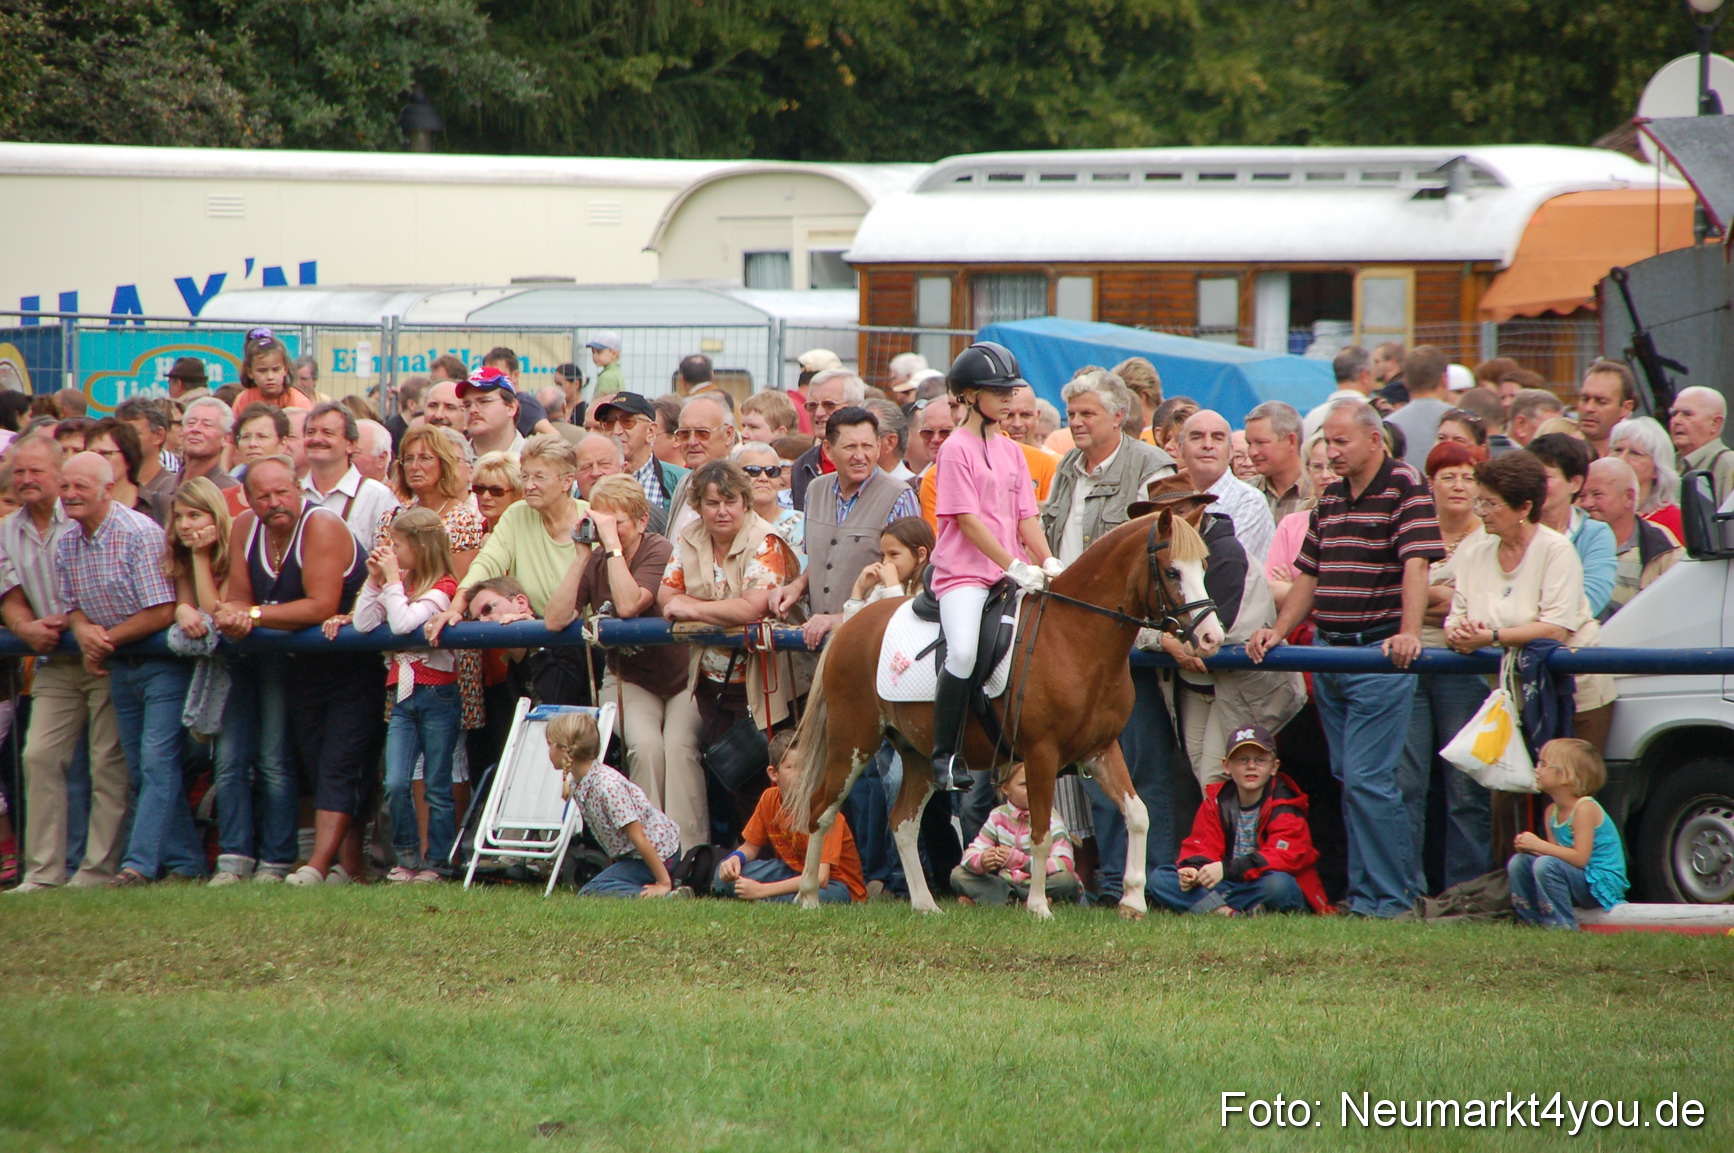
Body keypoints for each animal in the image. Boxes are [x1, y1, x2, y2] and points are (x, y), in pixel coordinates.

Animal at [785, 480, 1225, 919]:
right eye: (1172, 571)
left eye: (1205, 567)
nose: (1212, 638)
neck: (1075, 637)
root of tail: (852, 623)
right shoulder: (1042, 753)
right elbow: (1041, 832)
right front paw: (1039, 907)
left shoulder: (1101, 750)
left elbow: (1138, 815)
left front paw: (1132, 901)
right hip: (852, 744)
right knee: (821, 810)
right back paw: (807, 897)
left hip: (919, 756)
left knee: (903, 823)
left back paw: (926, 905)